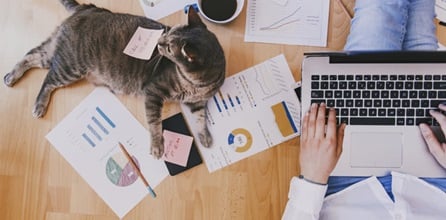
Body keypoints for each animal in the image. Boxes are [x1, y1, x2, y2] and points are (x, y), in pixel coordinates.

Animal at [3, 0, 226, 158]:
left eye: (170, 47)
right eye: (168, 33)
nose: (159, 41)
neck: (196, 84)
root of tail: (88, 8)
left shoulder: (198, 102)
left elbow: (201, 118)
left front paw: (205, 136)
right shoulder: (153, 92)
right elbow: (155, 123)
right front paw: (157, 146)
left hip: (55, 54)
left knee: (31, 55)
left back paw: (11, 76)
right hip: (70, 66)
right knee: (48, 79)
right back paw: (38, 104)